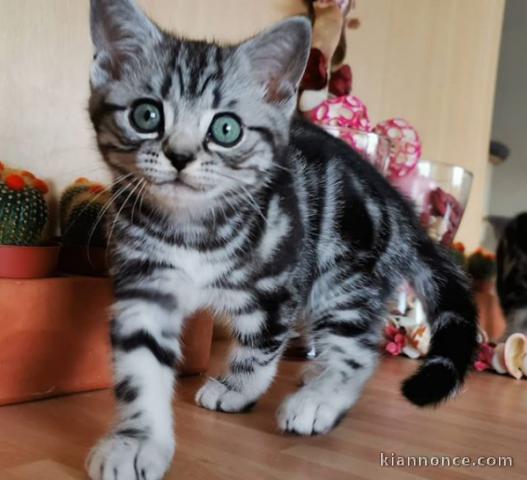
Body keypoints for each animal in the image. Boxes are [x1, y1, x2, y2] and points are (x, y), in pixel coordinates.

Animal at [85, 0, 478, 480]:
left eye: (226, 129)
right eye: (147, 115)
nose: (179, 156)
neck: (193, 229)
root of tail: (398, 204)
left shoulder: (278, 283)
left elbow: (261, 346)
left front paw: (238, 388)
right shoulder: (145, 284)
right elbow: (140, 368)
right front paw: (137, 441)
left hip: (343, 270)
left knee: (359, 348)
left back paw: (321, 398)